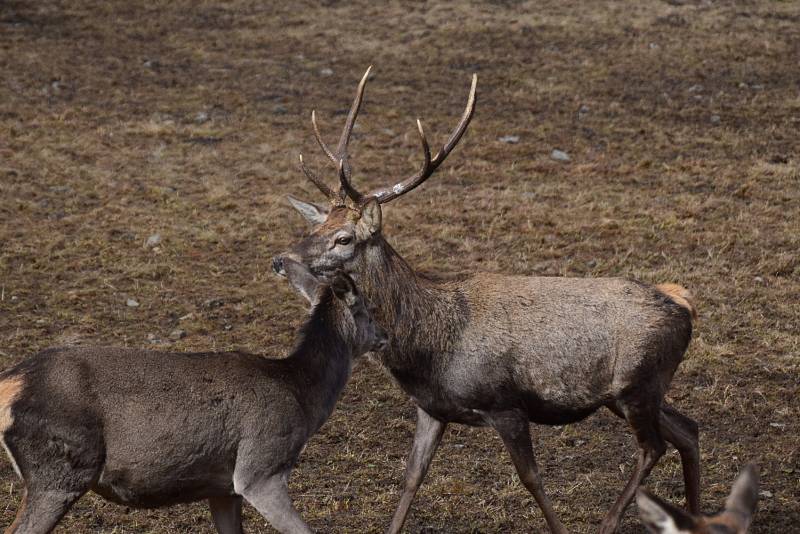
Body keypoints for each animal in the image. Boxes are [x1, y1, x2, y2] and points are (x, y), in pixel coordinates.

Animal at [0, 262, 388, 534]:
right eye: (368, 309)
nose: (385, 336)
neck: (300, 394)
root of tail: (10, 383)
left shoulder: (223, 488)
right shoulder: (261, 468)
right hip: (60, 471)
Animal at [274, 68, 700, 534]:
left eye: (344, 238)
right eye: (314, 229)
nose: (281, 259)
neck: (429, 347)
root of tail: (684, 303)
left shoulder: (506, 403)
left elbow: (532, 480)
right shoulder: (432, 408)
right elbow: (411, 478)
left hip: (636, 383)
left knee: (654, 447)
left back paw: (611, 522)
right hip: (640, 390)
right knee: (690, 430)